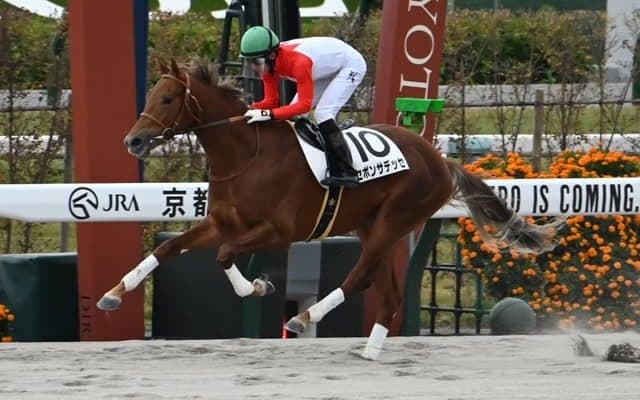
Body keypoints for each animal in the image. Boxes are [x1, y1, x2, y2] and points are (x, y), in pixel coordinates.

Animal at [97, 57, 559, 360]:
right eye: (152, 94)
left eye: (169, 98)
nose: (133, 141)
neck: (247, 155)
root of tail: (440, 160)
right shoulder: (221, 222)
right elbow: (167, 249)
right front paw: (113, 293)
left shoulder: (280, 231)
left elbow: (226, 256)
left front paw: (258, 287)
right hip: (374, 226)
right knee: (387, 292)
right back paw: (369, 350)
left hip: (396, 219)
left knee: (360, 277)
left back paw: (304, 319)